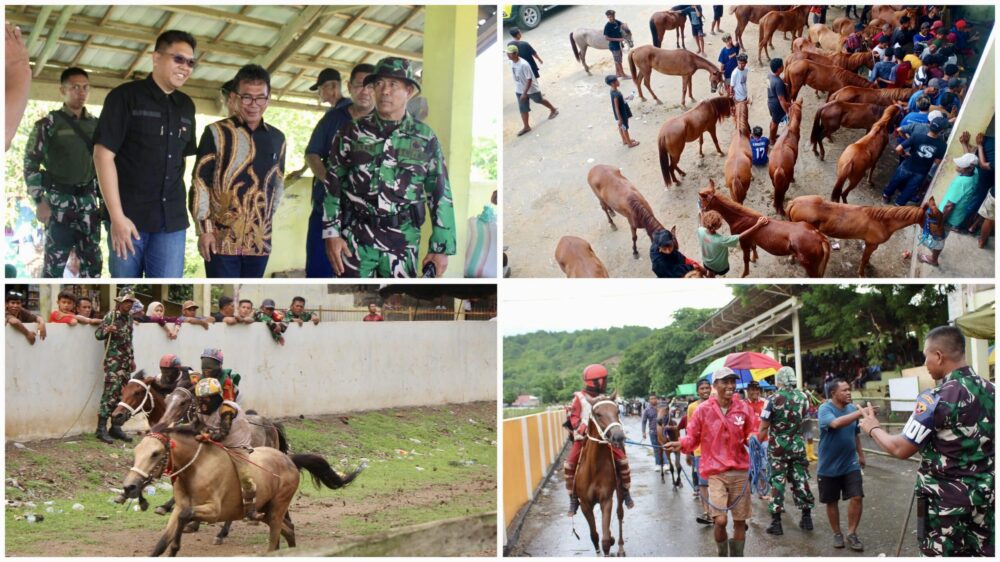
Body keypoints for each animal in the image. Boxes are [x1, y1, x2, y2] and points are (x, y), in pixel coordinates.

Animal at [121, 426, 364, 552]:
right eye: (137, 451)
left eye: (155, 453)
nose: (130, 486)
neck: (196, 469)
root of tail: (289, 460)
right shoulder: (180, 508)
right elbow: (162, 541)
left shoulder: (213, 511)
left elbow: (186, 517)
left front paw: (177, 544)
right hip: (265, 509)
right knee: (288, 530)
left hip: (277, 508)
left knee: (275, 538)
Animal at [700, 178, 832, 276]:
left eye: (702, 201)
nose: (701, 212)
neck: (741, 218)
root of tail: (821, 238)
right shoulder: (750, 239)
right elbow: (754, 248)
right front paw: (754, 258)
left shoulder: (743, 242)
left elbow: (745, 259)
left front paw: (744, 274)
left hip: (810, 267)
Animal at [784, 195, 924, 276]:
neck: (882, 222)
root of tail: (794, 202)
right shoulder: (871, 244)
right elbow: (864, 259)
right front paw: (862, 273)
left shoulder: (873, 245)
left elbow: (867, 258)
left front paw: (869, 264)